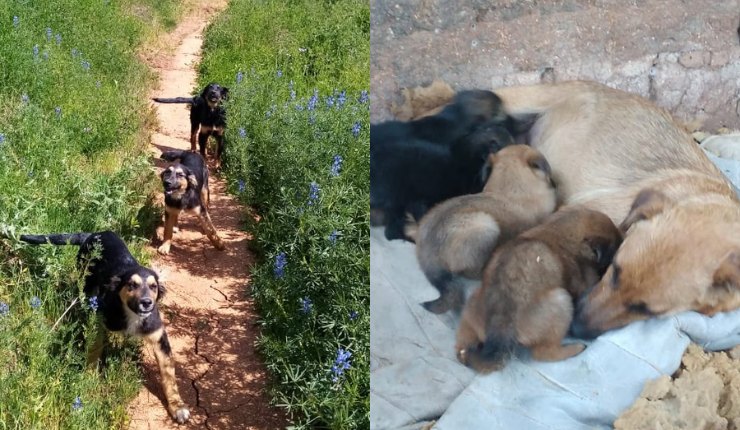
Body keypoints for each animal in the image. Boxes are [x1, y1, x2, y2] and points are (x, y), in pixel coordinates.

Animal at [18, 232, 191, 424]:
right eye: (132, 285)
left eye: (153, 287)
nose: (147, 303)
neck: (132, 314)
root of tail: (93, 233)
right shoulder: (100, 319)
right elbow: (94, 350)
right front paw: (89, 377)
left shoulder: (159, 336)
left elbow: (169, 376)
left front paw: (177, 406)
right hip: (84, 279)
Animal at [456, 207, 620, 372]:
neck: (561, 231)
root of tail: (499, 330)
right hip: (561, 301)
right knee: (544, 353)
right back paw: (575, 348)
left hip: (471, 305)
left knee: (463, 344)